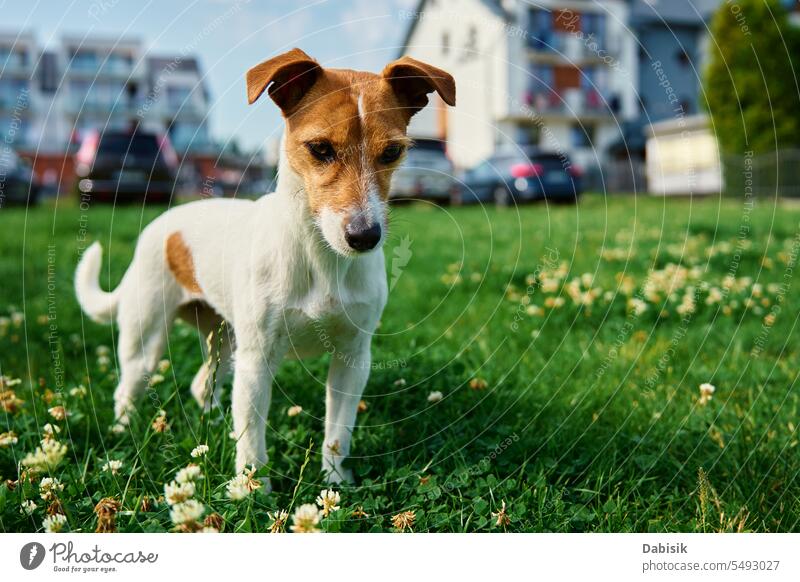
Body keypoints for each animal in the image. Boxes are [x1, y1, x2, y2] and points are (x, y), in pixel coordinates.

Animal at [75, 46, 456, 488]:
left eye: (392, 152)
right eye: (320, 148)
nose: (364, 236)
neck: (319, 258)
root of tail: (163, 223)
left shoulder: (352, 359)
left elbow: (337, 432)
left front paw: (335, 481)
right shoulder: (258, 359)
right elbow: (253, 437)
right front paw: (253, 487)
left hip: (224, 342)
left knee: (203, 385)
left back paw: (213, 427)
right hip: (148, 337)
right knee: (129, 388)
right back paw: (123, 433)